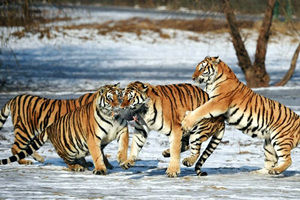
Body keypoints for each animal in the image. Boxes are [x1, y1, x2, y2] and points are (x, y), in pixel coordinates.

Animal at [0, 83, 129, 174]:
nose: (120, 106)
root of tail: (15, 98)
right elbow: (99, 152)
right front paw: (103, 165)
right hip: (25, 131)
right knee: (15, 148)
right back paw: (25, 161)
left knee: (27, 147)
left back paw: (39, 158)